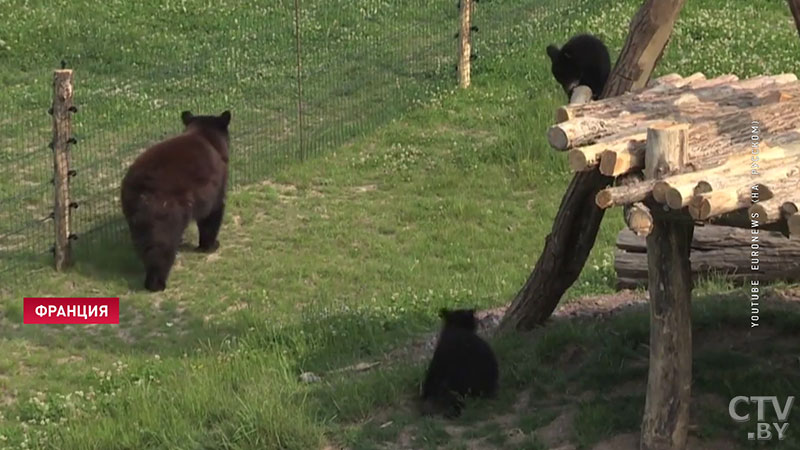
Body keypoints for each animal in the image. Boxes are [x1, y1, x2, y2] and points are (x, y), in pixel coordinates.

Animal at [120, 109, 231, 292]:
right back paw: (157, 283)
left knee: (143, 245)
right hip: (167, 211)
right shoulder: (214, 184)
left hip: (133, 215)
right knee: (161, 246)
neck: (208, 137)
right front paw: (210, 245)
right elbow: (212, 213)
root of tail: (142, 189)